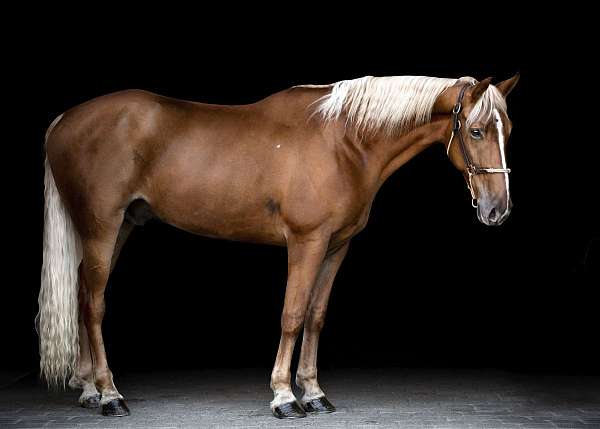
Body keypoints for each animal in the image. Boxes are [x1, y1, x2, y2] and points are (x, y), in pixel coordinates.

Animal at [37, 72, 516, 418]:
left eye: (506, 129)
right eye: (475, 131)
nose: (497, 209)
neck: (344, 142)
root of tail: (63, 120)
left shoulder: (336, 246)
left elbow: (316, 317)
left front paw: (315, 393)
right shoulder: (307, 242)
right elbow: (292, 314)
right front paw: (285, 397)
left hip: (119, 228)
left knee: (82, 292)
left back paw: (89, 389)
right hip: (101, 227)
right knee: (94, 304)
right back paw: (110, 395)